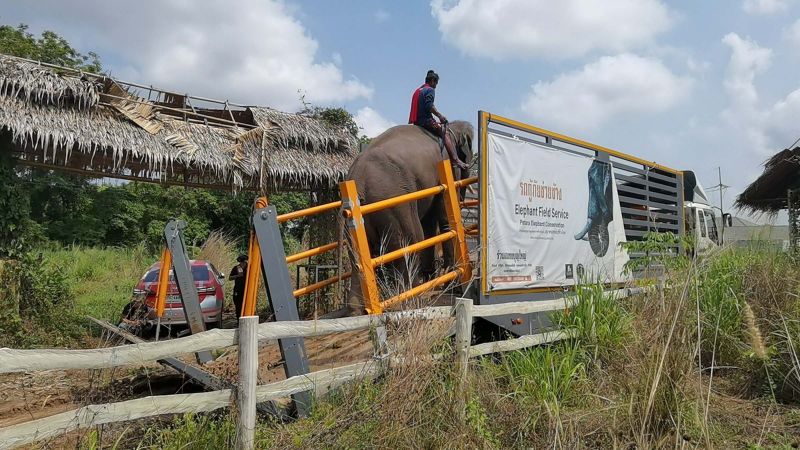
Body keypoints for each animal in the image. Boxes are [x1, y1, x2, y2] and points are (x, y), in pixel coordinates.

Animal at [342, 121, 474, 315]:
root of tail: (358, 181)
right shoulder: (446, 168)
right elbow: (444, 218)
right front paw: (453, 286)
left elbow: (429, 223)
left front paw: (431, 277)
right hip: (395, 204)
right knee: (411, 239)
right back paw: (408, 301)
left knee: (357, 258)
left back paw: (357, 310)